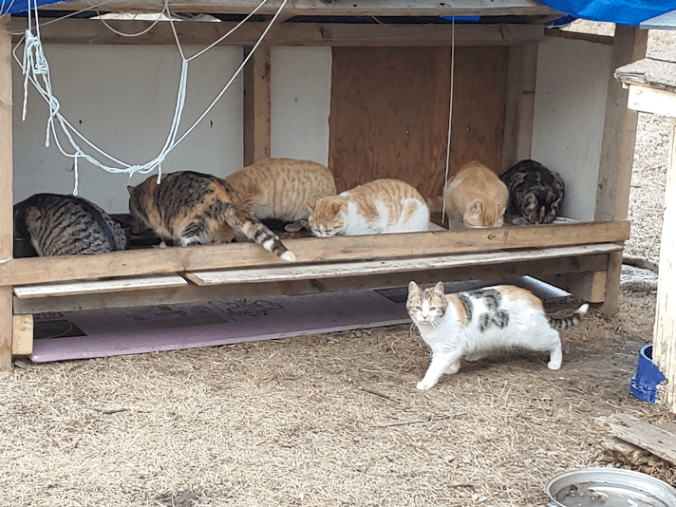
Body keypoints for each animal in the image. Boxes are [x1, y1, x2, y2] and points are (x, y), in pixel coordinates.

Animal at [127, 171, 295, 261]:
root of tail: (226, 201)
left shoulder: (163, 226)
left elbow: (165, 237)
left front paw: (163, 245)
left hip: (191, 228)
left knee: (196, 247)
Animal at [406, 281, 588, 390]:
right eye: (418, 308)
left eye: (432, 309)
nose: (424, 316)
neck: (431, 326)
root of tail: (533, 296)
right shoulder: (452, 347)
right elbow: (454, 359)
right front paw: (452, 368)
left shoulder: (445, 350)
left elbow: (434, 368)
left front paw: (426, 383)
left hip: (533, 337)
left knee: (555, 337)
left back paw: (555, 362)